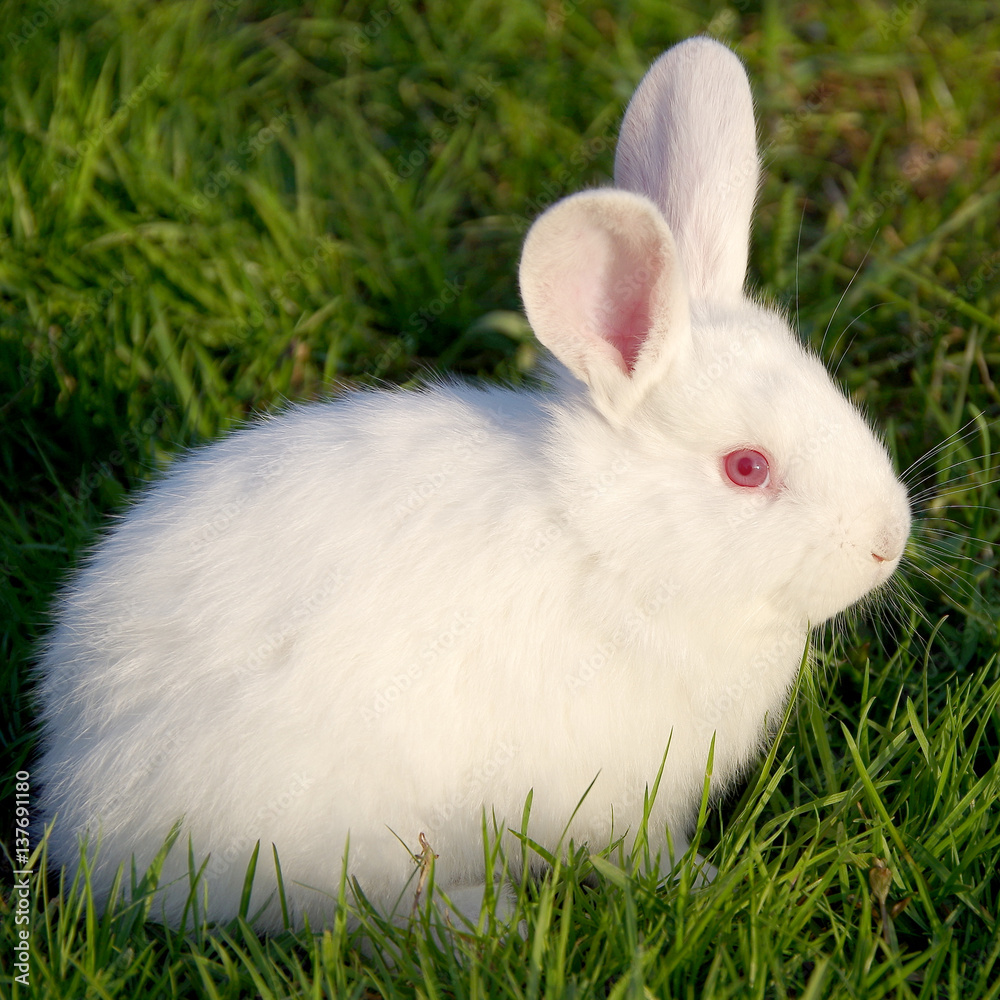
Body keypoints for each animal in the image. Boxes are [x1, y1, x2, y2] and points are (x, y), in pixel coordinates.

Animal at [34, 36, 911, 934]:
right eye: (746, 468)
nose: (889, 542)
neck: (609, 546)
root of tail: (79, 796)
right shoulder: (611, 799)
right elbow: (635, 849)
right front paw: (696, 880)